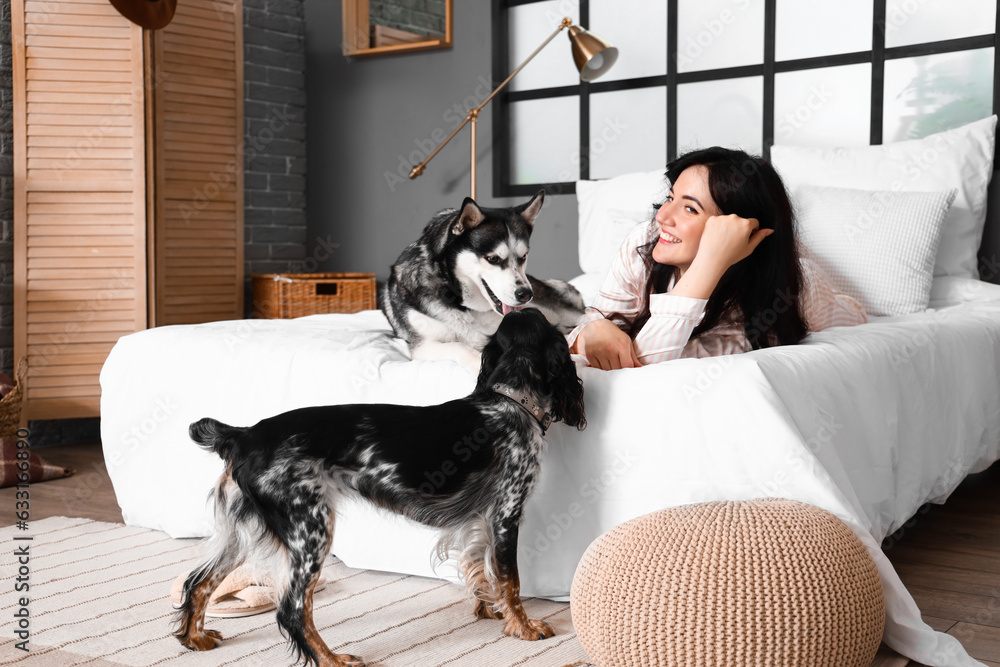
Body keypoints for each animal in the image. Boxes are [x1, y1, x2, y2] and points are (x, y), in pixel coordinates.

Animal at [174, 308, 584, 667]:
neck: (509, 400)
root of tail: (243, 435)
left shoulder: (480, 520)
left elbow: (481, 570)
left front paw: (491, 611)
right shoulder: (506, 514)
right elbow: (510, 579)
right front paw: (524, 627)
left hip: (243, 531)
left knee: (199, 582)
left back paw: (195, 638)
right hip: (311, 529)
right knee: (292, 609)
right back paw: (332, 660)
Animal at [382, 192, 584, 370]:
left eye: (523, 257)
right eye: (493, 259)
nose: (526, 294)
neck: (460, 301)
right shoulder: (423, 346)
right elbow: (461, 347)